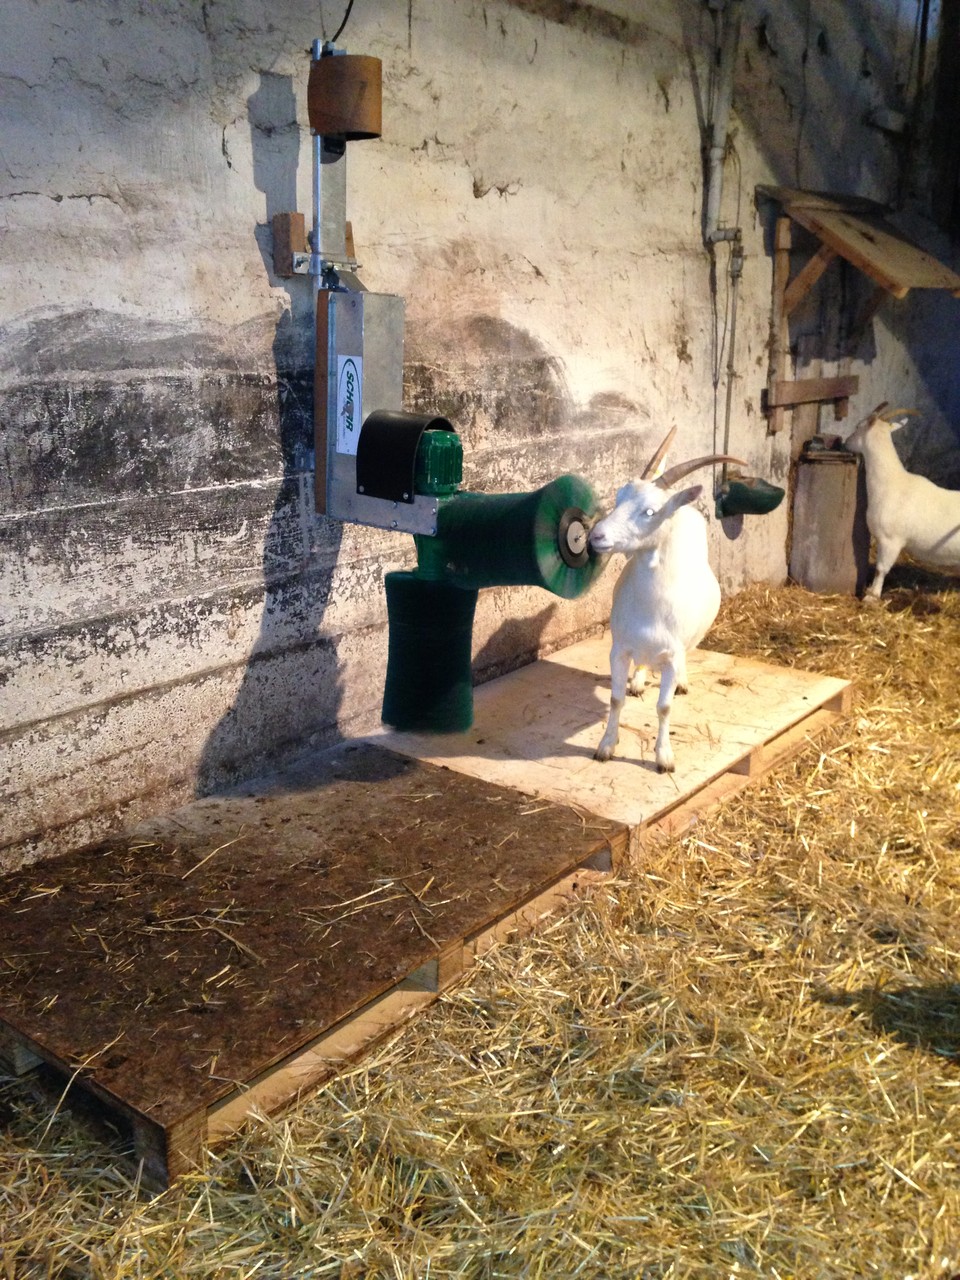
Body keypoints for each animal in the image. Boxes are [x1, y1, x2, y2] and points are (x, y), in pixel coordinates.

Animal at [589, 436, 741, 772]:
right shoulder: (619, 648)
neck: (651, 608)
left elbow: (664, 707)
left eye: (650, 511)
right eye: (619, 497)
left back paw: (681, 681)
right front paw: (606, 746)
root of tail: (682, 508)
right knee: (642, 663)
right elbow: (616, 699)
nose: (596, 535)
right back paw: (638, 680)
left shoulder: (671, 655)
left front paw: (664, 758)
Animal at [844, 402, 960, 601]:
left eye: (858, 426)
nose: (845, 442)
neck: (892, 482)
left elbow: (881, 569)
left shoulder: (891, 540)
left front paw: (872, 596)